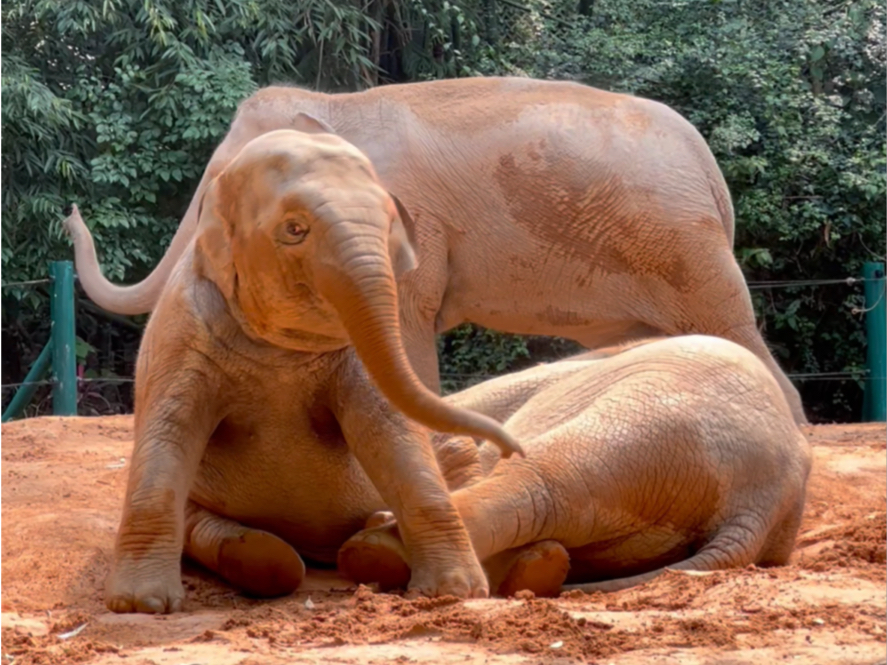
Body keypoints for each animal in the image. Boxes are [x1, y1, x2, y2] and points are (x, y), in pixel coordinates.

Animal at [66, 76, 808, 426]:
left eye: (221, 188)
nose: (68, 211)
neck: (334, 105)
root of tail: (711, 170)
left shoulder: (406, 222)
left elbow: (405, 326)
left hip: (686, 247)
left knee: (733, 328)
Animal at [86, 127, 528, 616]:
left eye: (390, 226)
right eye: (294, 230)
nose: (514, 449)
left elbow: (390, 433)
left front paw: (457, 591)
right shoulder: (180, 331)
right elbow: (168, 430)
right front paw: (141, 605)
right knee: (204, 525)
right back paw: (262, 556)